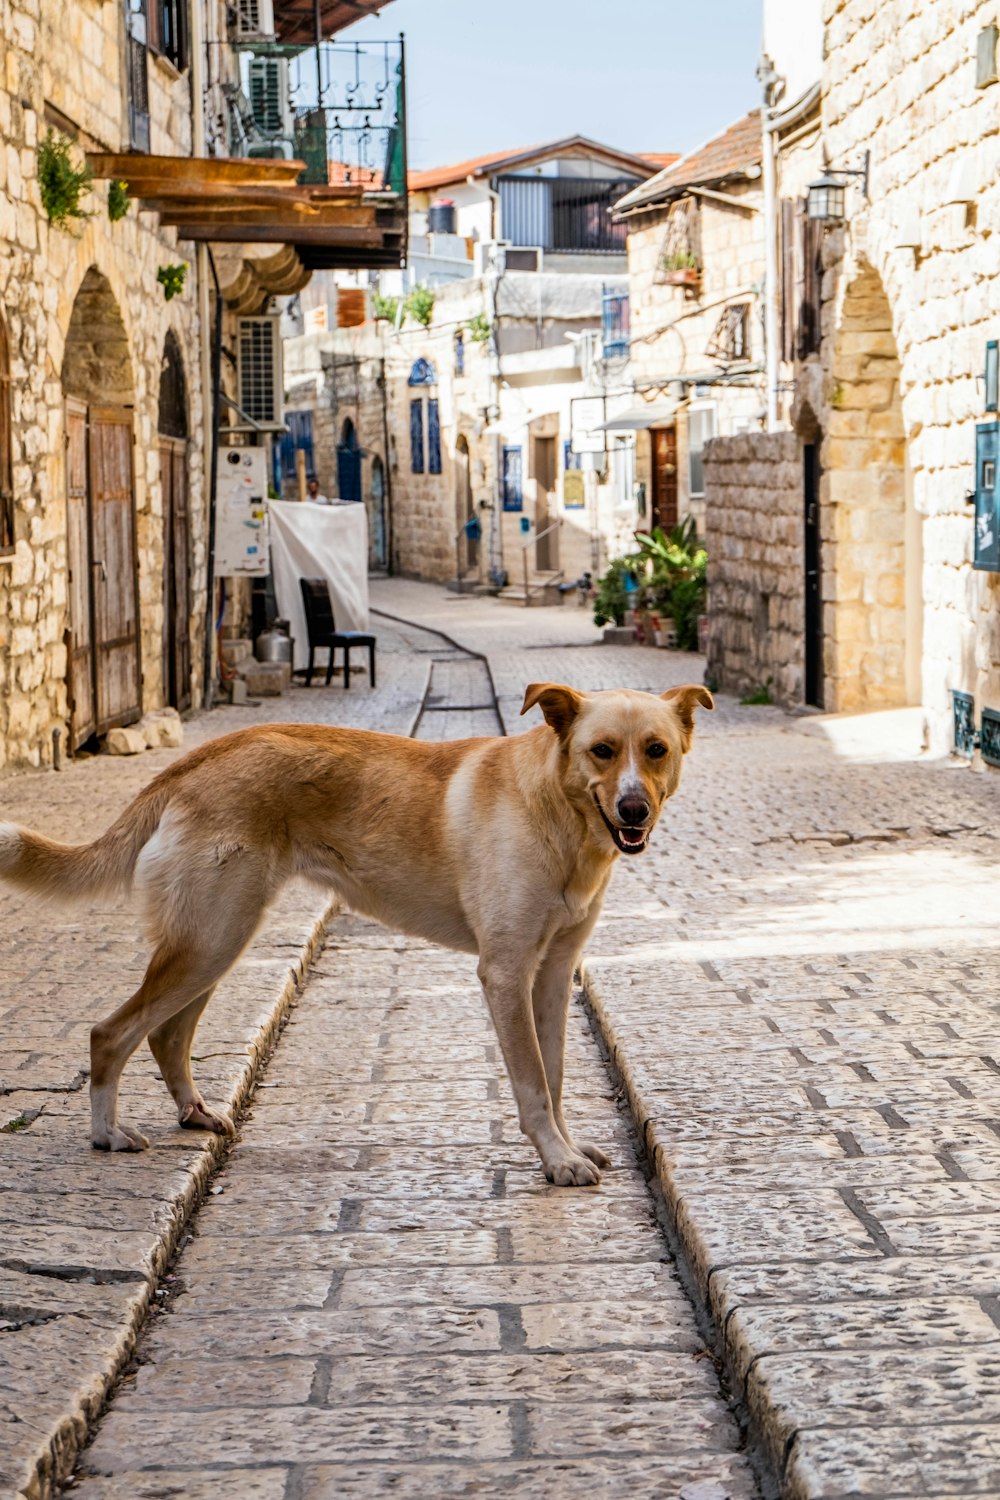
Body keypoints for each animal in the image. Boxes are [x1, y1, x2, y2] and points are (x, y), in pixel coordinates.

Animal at [0, 681, 710, 1182]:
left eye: (656, 750)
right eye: (601, 751)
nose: (633, 809)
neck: (560, 815)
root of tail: (198, 757)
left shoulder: (555, 975)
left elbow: (556, 1077)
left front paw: (565, 1145)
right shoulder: (506, 973)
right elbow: (533, 1083)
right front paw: (557, 1161)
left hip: (218, 939)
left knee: (168, 1034)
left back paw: (194, 1113)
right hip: (210, 940)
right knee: (111, 1032)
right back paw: (106, 1135)